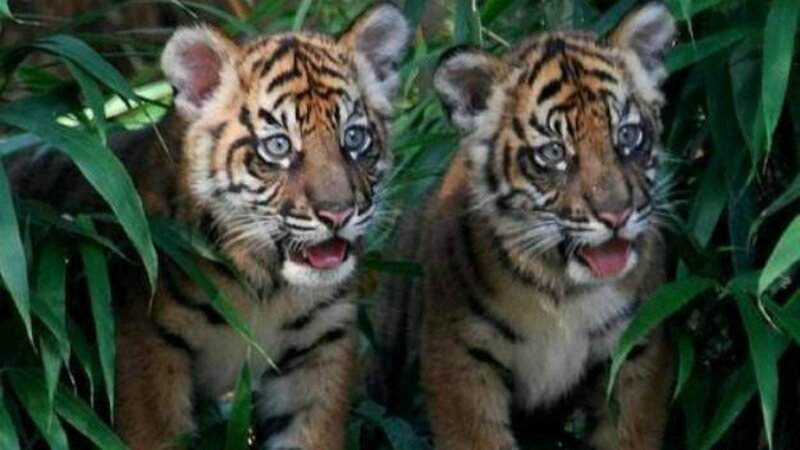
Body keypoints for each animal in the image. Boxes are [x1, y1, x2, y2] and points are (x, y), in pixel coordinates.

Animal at [9, 4, 409, 450]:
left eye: (354, 138)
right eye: (278, 146)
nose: (338, 214)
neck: (268, 287)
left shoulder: (320, 350)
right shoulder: (145, 347)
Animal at [368, 4, 677, 450]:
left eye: (628, 135)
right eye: (554, 153)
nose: (617, 216)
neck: (564, 288)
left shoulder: (637, 348)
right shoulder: (460, 355)